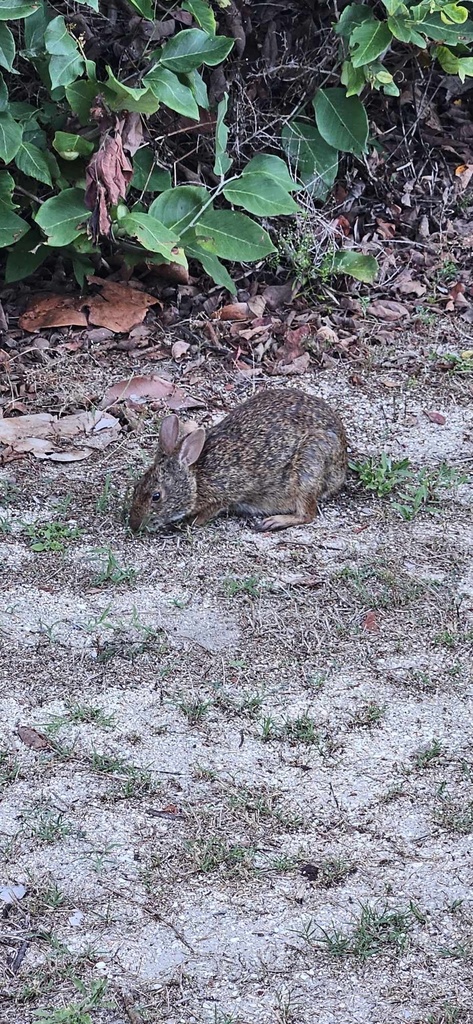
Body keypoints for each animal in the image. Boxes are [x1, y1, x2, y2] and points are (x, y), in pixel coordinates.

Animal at [128, 388, 347, 533]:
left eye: (156, 496)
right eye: (136, 487)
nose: (134, 525)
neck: (197, 478)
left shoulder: (226, 493)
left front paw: (191, 523)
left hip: (309, 467)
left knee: (307, 513)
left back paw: (274, 522)